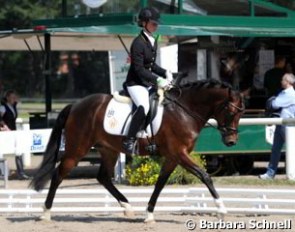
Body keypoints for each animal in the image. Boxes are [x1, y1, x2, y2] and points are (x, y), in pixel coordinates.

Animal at [30, 79, 245, 223]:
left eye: (241, 113)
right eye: (230, 111)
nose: (231, 142)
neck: (184, 110)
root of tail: (75, 105)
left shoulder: (173, 157)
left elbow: (160, 184)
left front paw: (149, 214)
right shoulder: (179, 154)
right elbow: (204, 175)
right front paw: (221, 210)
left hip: (109, 150)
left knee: (103, 177)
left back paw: (128, 207)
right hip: (77, 149)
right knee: (58, 174)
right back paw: (45, 213)